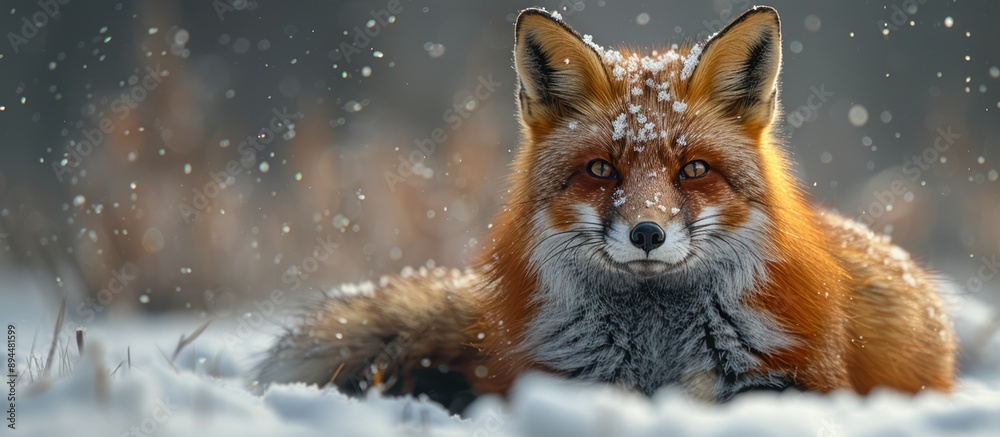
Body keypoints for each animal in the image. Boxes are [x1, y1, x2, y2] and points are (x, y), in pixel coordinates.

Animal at [256, 6, 956, 413]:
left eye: (693, 169)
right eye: (600, 170)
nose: (647, 233)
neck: (657, 344)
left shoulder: (790, 383)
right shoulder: (559, 380)